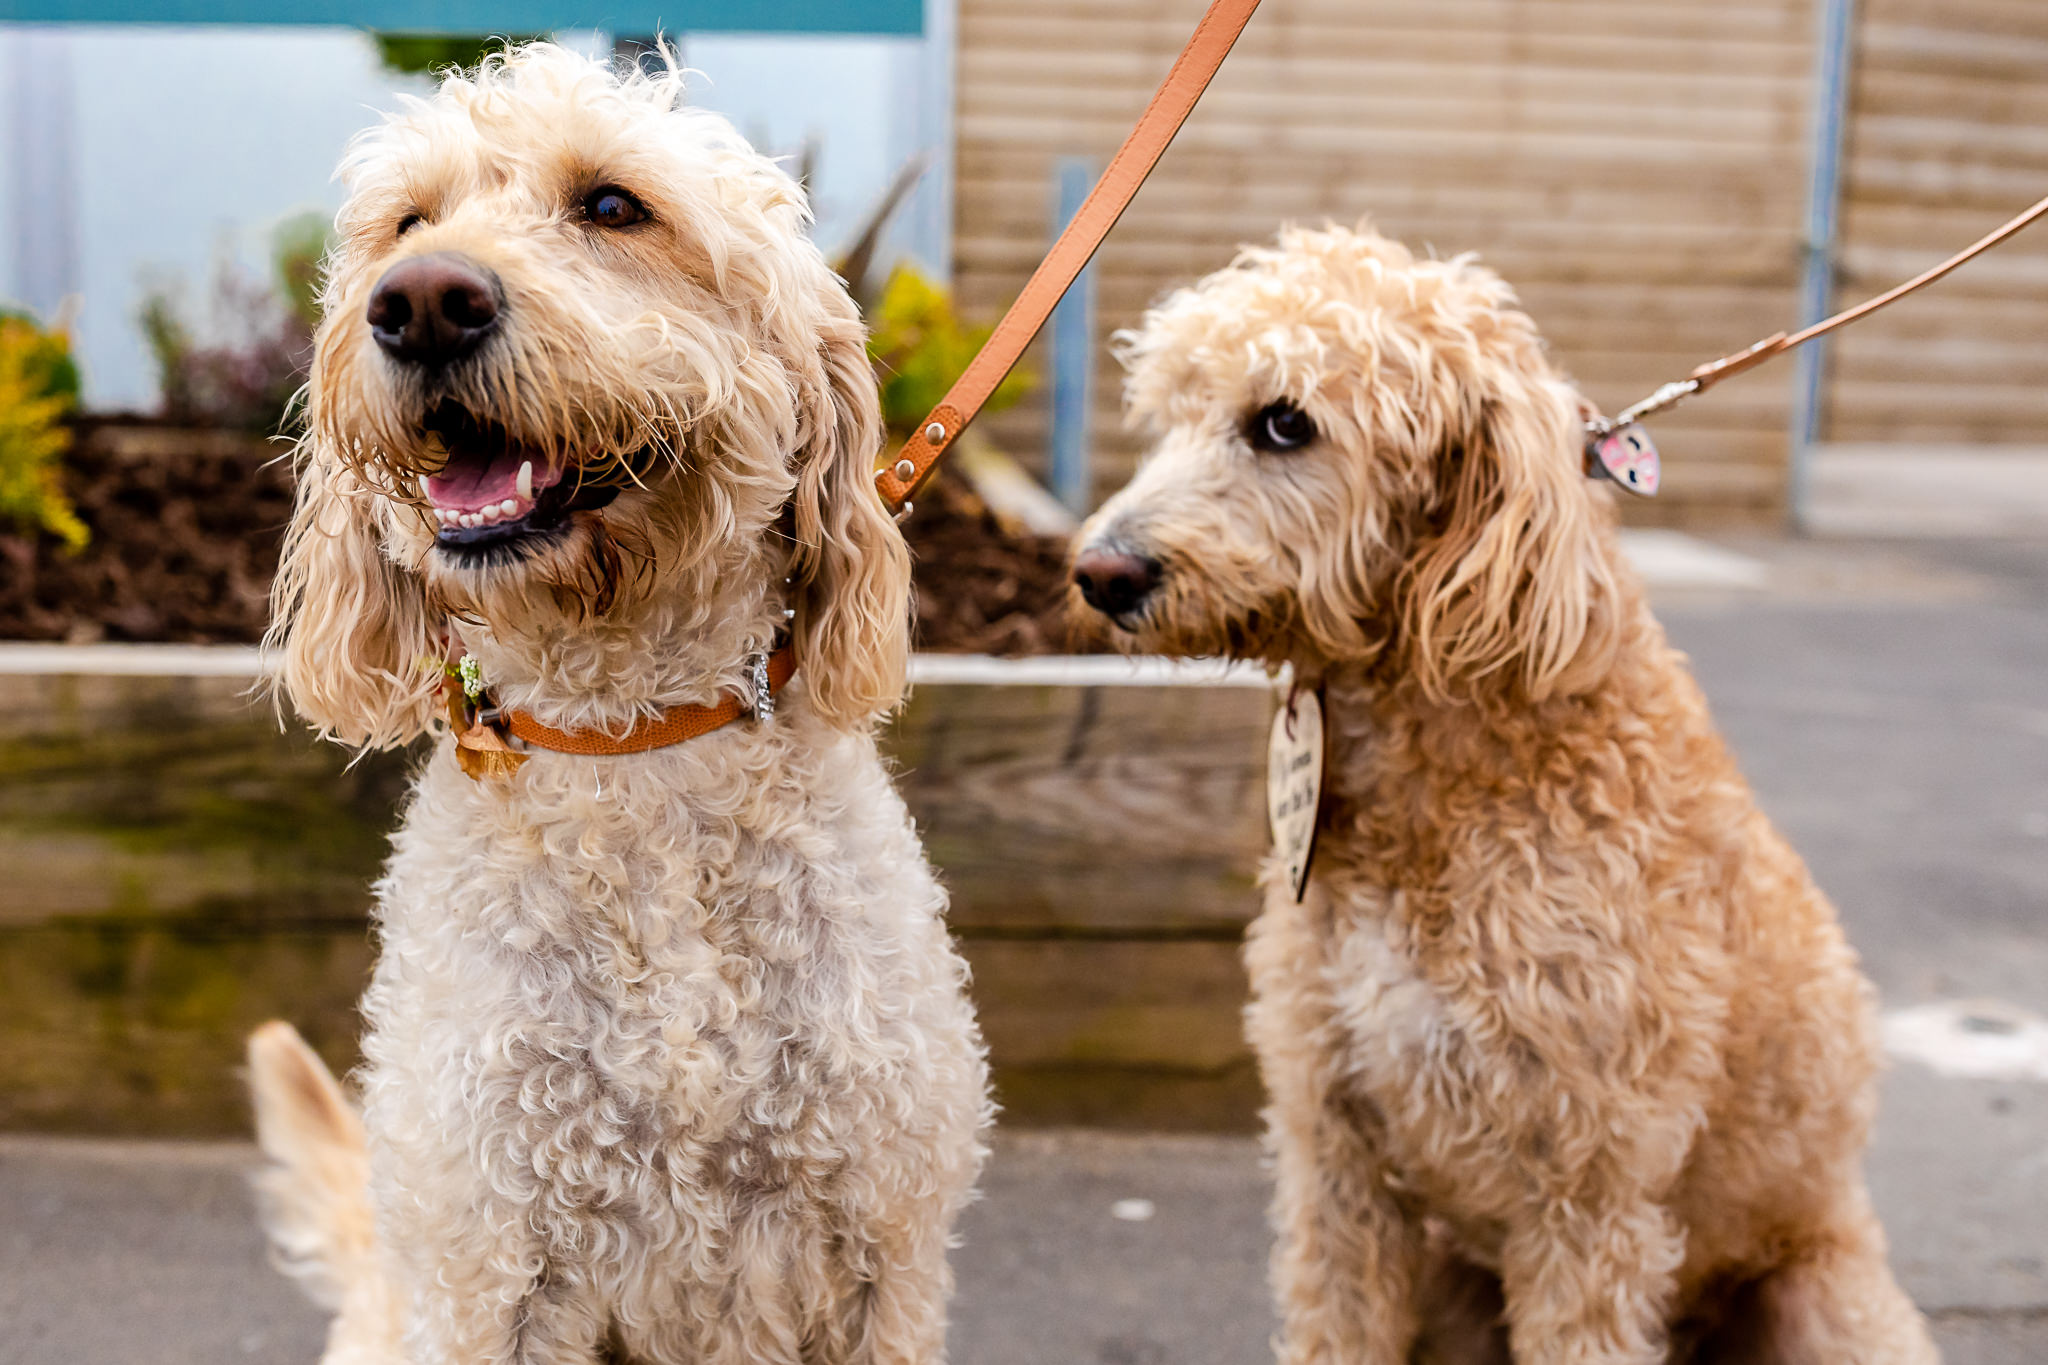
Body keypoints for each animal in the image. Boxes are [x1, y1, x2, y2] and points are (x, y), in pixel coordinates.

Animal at [241, 42, 991, 1365]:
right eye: (409, 221)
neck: (634, 739)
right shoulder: (492, 1274)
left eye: (610, 206)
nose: (420, 301)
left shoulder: (881, 1260)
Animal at [1073, 218, 1933, 1358]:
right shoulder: (1333, 1155)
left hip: (1825, 1300)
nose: (1097, 572)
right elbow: (1331, 1321)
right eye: (1172, 413)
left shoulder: (1589, 1189)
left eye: (1284, 423)